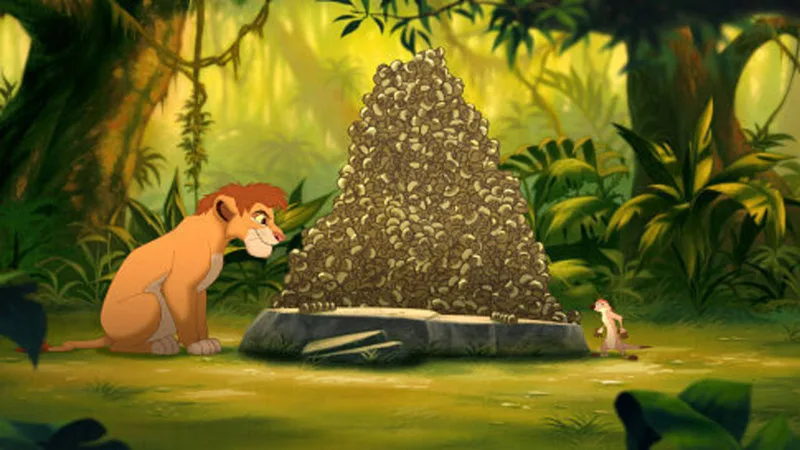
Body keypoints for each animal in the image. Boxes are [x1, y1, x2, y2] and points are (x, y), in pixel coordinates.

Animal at [39, 183, 287, 356]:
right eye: (261, 219)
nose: (281, 236)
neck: (217, 236)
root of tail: (106, 334)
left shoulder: (199, 290)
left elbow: (199, 318)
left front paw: (206, 341)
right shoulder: (179, 285)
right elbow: (187, 318)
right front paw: (195, 345)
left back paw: (164, 341)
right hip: (149, 304)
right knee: (118, 347)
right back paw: (160, 347)